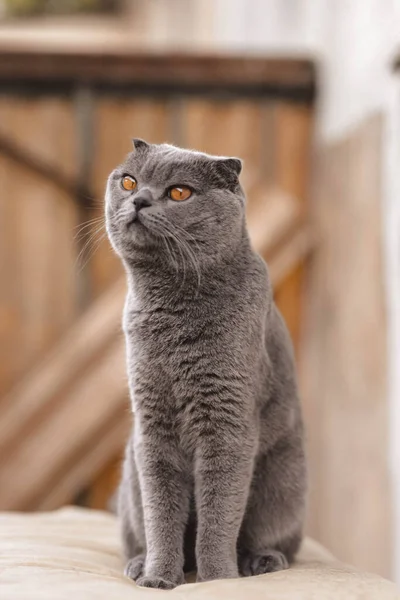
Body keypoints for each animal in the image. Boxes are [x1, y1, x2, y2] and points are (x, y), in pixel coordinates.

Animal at [105, 141, 306, 592]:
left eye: (179, 192)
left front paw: (217, 580)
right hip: (129, 477)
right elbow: (162, 512)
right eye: (128, 181)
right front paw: (158, 577)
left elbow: (219, 511)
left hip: (283, 486)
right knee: (136, 531)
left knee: (275, 538)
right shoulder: (152, 425)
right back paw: (137, 564)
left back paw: (262, 561)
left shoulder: (228, 422)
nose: (139, 200)